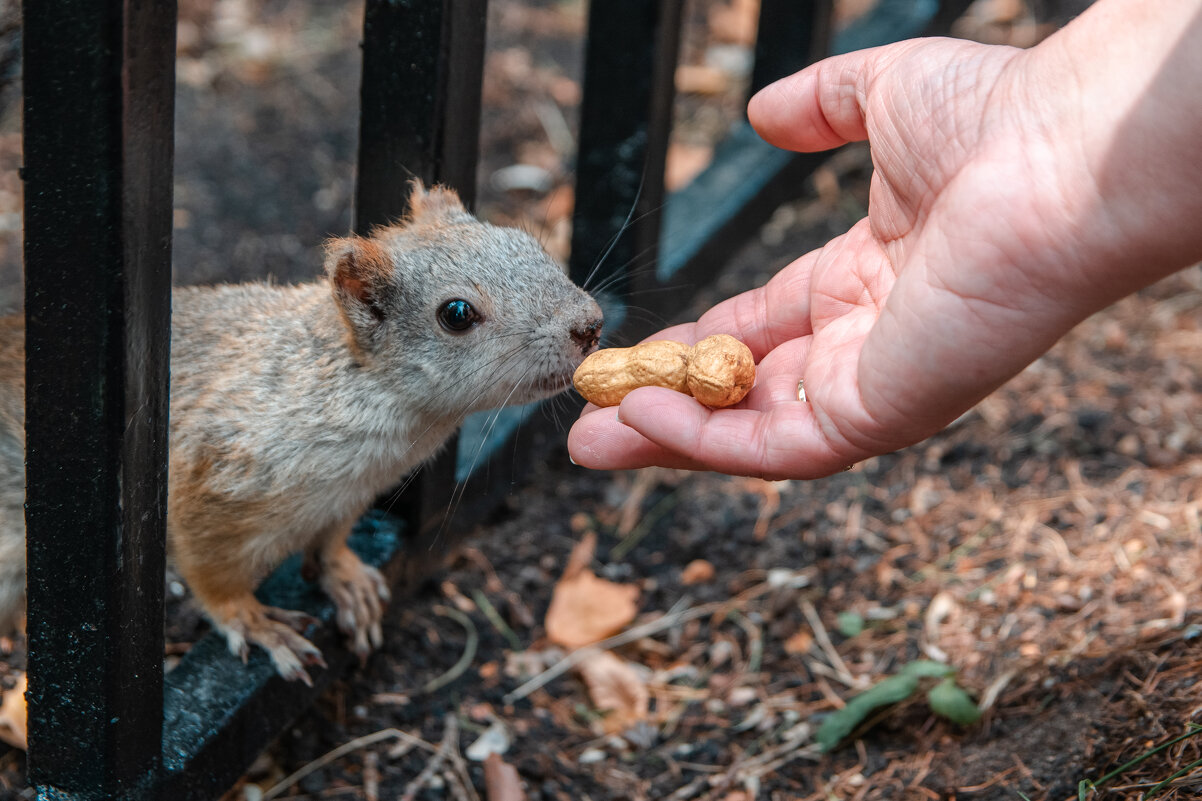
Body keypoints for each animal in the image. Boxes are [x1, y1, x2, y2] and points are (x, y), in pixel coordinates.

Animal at [0, 184, 605, 683]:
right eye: (456, 314)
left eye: (526, 242)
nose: (591, 324)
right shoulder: (212, 475)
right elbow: (211, 572)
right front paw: (252, 621)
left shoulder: (348, 498)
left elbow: (332, 540)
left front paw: (346, 577)